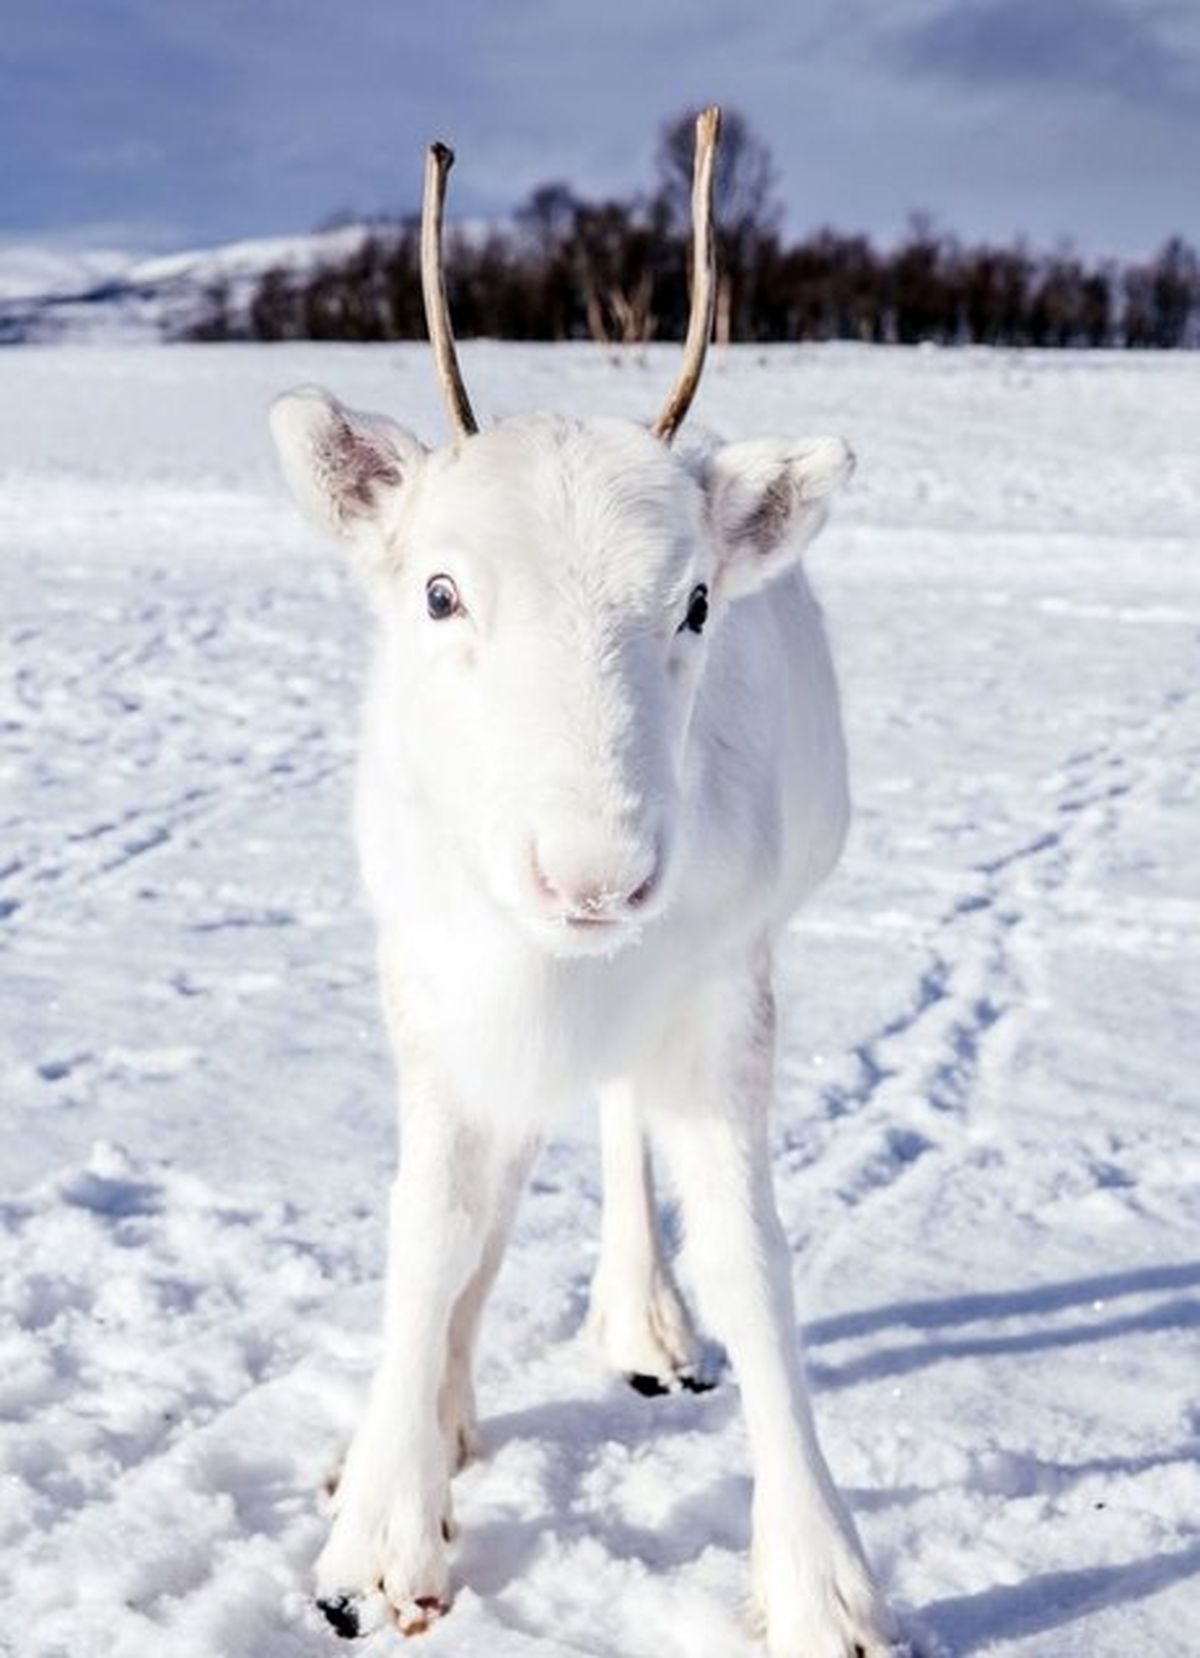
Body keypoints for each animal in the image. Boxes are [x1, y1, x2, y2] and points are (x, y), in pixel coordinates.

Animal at [266, 110, 895, 1651]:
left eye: (697, 600)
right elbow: (434, 1225)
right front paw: (383, 1523)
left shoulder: (723, 987)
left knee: (614, 1131)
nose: (598, 874)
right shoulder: (435, 984)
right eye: (439, 590)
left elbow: (750, 1254)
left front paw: (821, 1578)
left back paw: (640, 1321)